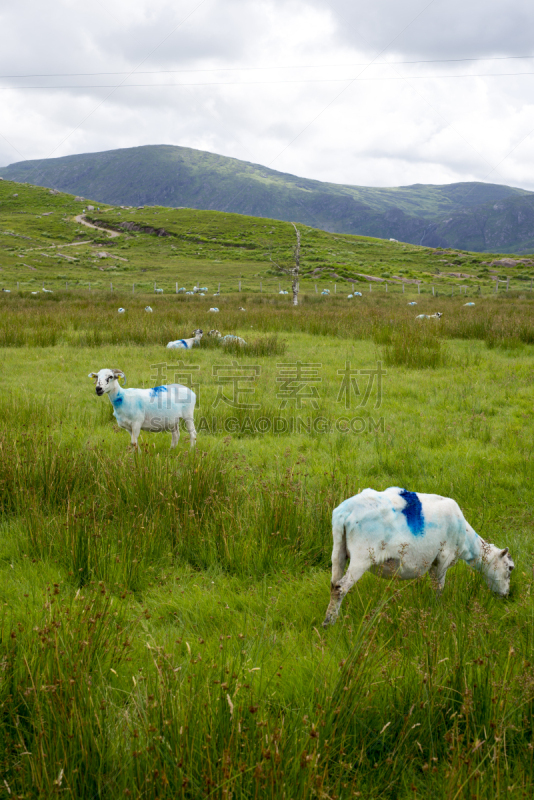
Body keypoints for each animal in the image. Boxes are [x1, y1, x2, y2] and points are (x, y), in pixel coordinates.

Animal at [322, 484, 516, 628]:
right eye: (510, 568)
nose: (506, 596)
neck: (468, 542)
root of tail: (345, 513)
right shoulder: (442, 559)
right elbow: (438, 588)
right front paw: (437, 610)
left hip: (338, 551)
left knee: (333, 584)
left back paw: (328, 620)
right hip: (363, 555)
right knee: (340, 588)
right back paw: (330, 624)